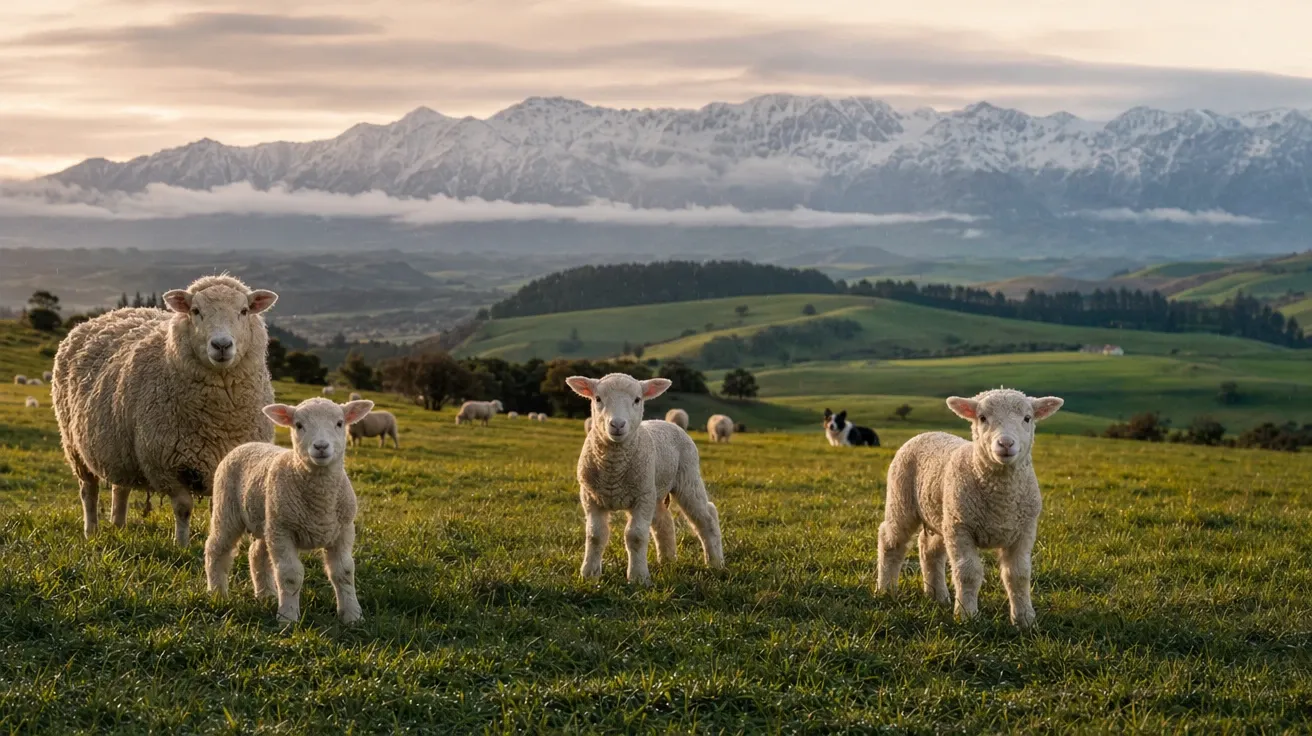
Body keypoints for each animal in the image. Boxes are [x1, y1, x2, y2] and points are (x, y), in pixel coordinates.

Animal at [51, 274, 278, 545]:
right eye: (195, 311)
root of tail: (108, 315)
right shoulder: (167, 464)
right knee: (88, 491)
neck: (221, 419)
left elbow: (220, 510)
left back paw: (118, 526)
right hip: (73, 445)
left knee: (120, 488)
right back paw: (91, 532)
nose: (222, 345)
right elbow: (183, 508)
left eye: (243, 311)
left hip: (121, 449)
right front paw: (181, 545)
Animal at [206, 398, 373, 624]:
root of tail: (248, 444)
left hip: (267, 519)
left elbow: (344, 572)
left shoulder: (343, 530)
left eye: (339, 423)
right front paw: (288, 617)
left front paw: (352, 615)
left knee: (257, 553)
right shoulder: (283, 530)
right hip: (229, 511)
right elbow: (290, 575)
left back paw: (266, 595)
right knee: (216, 549)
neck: (320, 503)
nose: (321, 446)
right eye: (299, 425)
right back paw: (217, 593)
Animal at [567, 373, 724, 584]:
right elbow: (595, 535)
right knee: (664, 521)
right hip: (654, 489)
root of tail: (667, 422)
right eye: (598, 399)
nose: (617, 424)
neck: (613, 470)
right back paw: (667, 560)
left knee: (706, 516)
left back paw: (715, 563)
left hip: (686, 477)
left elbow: (636, 536)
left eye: (637, 400)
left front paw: (638, 577)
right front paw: (589, 574)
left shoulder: (641, 497)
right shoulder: (591, 497)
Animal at [875, 388, 1064, 628]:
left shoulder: (1024, 531)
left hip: (942, 514)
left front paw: (1024, 619)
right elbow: (968, 573)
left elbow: (1018, 575)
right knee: (891, 541)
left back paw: (937, 595)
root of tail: (928, 433)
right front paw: (966, 616)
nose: (1005, 444)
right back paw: (885, 589)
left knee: (929, 549)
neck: (1001, 501)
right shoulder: (961, 528)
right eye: (982, 418)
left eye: (1027, 418)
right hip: (903, 501)